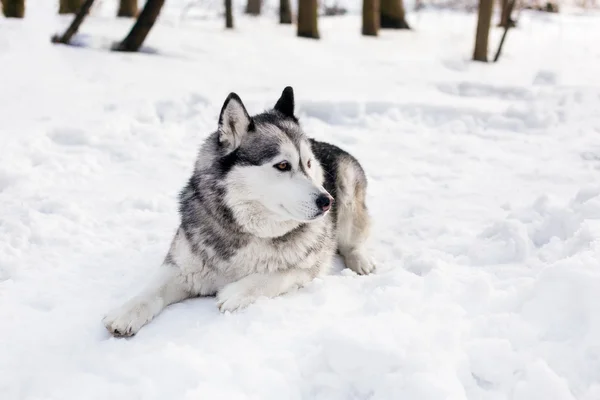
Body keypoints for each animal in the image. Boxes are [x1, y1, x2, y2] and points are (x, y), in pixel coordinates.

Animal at [103, 87, 376, 338]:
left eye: (308, 164)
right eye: (283, 165)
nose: (327, 201)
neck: (248, 230)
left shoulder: (310, 268)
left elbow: (277, 275)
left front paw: (237, 291)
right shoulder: (182, 268)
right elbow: (151, 290)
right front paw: (125, 312)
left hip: (349, 195)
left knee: (353, 242)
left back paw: (361, 261)